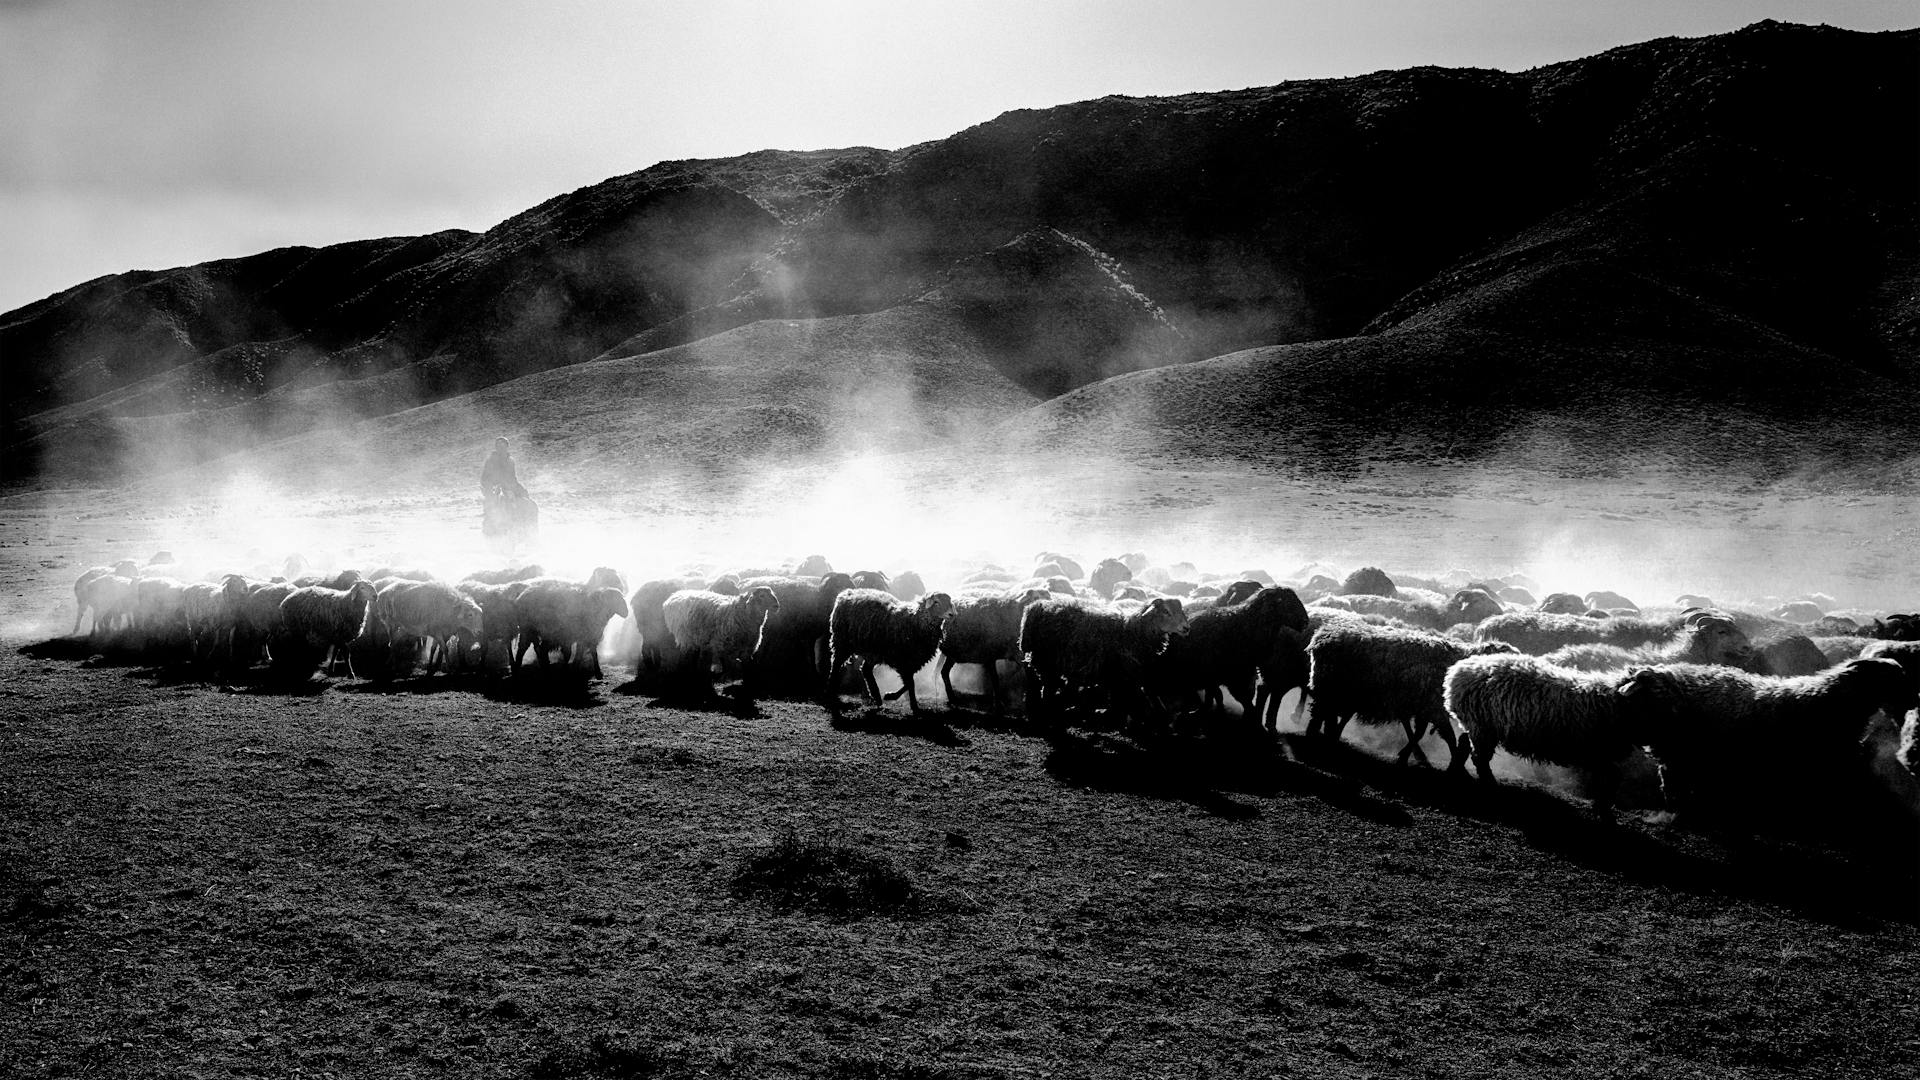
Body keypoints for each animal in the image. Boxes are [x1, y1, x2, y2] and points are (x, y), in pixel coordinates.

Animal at [1021, 591, 1182, 726]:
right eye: (1166, 611)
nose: (1186, 628)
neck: (1133, 629)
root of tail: (1036, 607)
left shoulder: (1120, 674)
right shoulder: (1121, 673)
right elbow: (1124, 698)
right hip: (1045, 660)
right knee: (1048, 688)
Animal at [1443, 645, 1666, 814]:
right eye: (1654, 693)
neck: (1613, 704)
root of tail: (1459, 671)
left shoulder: (1598, 753)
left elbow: (1610, 777)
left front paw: (1602, 805)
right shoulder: (1596, 752)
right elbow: (1611, 778)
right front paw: (1602, 808)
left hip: (1478, 727)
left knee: (1464, 743)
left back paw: (1456, 771)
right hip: (1483, 727)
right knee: (1479, 758)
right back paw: (1489, 784)